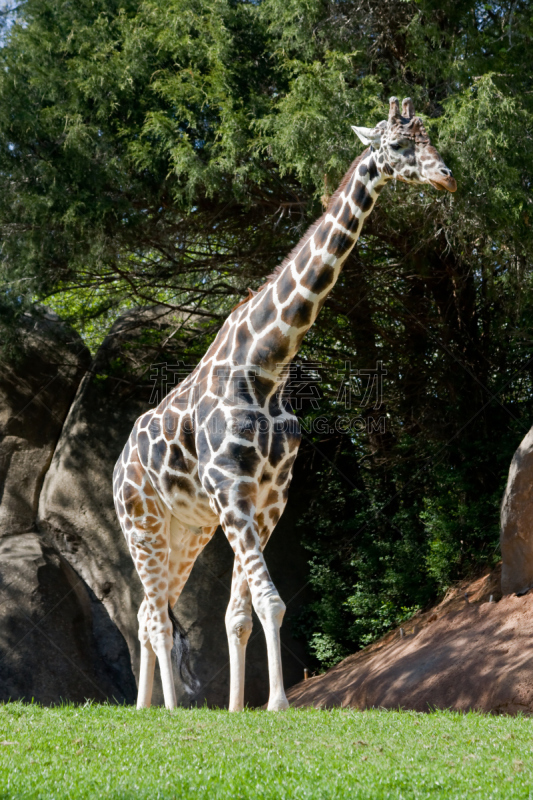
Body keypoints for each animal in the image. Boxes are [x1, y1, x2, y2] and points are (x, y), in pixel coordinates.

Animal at [113, 97, 458, 708]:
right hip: (141, 523)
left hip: (186, 531)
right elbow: (270, 602)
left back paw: (145, 708)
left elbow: (240, 614)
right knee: (155, 618)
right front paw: (277, 703)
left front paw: (238, 709)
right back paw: (168, 711)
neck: (267, 365)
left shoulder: (267, 497)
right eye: (397, 145)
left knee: (146, 612)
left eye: (429, 136)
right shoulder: (232, 491)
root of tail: (114, 469)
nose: (446, 176)